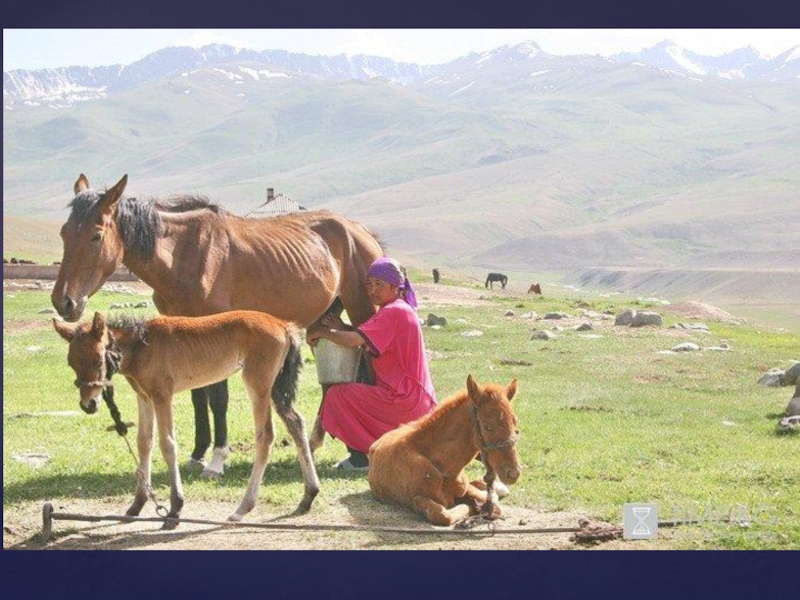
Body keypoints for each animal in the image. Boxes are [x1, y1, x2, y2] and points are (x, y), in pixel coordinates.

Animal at [50, 173, 382, 478]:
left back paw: (358, 455)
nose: (64, 301)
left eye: (95, 235)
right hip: (324, 319)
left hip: (361, 310)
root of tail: (360, 231)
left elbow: (218, 398)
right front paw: (197, 454)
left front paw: (217, 459)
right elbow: (199, 395)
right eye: (64, 233)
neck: (184, 256)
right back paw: (317, 444)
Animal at [52, 312, 322, 528]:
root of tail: (284, 325)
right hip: (275, 387)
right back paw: (308, 497)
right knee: (296, 423)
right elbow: (144, 442)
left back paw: (241, 509)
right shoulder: (144, 397)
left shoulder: (162, 396)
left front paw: (174, 510)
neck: (142, 345)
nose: (88, 404)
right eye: (71, 362)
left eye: (99, 360)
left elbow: (168, 445)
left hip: (258, 383)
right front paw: (137, 505)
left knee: (266, 435)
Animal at [368, 376, 520, 524]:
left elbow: (493, 507)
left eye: (515, 423)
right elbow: (442, 515)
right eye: (487, 427)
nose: (513, 473)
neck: (443, 469)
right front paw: (471, 508)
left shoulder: (466, 488)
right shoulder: (416, 499)